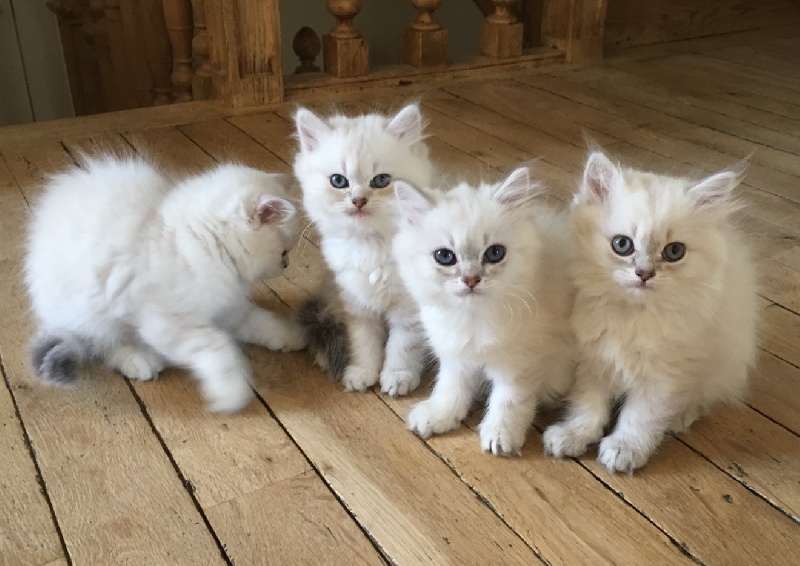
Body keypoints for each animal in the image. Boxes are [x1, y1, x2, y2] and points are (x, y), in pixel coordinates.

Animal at [25, 155, 306, 412]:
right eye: (284, 252)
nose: (286, 265)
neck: (200, 243)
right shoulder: (166, 322)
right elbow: (219, 348)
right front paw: (230, 392)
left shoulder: (226, 306)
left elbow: (260, 321)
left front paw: (291, 334)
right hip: (92, 309)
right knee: (101, 343)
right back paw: (138, 359)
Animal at [294, 104, 434, 398]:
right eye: (339, 181)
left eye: (381, 181)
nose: (358, 200)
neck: (371, 245)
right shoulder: (357, 305)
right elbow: (363, 344)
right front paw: (361, 373)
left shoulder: (408, 311)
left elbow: (402, 347)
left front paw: (397, 377)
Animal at [392, 165, 576, 458]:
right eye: (445, 256)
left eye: (495, 253)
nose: (471, 280)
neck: (473, 318)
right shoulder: (455, 356)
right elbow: (450, 389)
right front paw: (440, 415)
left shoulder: (520, 363)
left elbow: (508, 402)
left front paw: (501, 436)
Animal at [540, 150, 760, 474]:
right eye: (622, 245)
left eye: (674, 252)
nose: (645, 274)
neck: (634, 315)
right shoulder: (593, 358)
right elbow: (588, 405)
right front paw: (574, 434)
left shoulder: (664, 375)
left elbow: (641, 417)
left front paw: (625, 450)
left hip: (724, 363)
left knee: (705, 397)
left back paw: (680, 416)